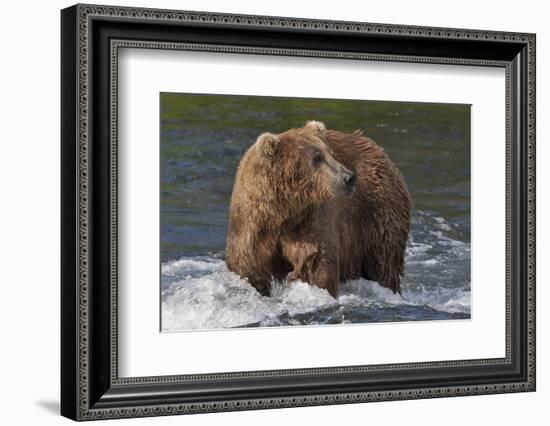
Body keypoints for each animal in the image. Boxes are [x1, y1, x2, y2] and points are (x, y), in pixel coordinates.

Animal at [224, 121, 410, 298]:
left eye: (330, 153)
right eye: (317, 158)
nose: (349, 177)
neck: (284, 211)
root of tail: (377, 149)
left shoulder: (311, 220)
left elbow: (315, 263)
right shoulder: (251, 224)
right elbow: (249, 267)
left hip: (376, 213)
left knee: (384, 262)